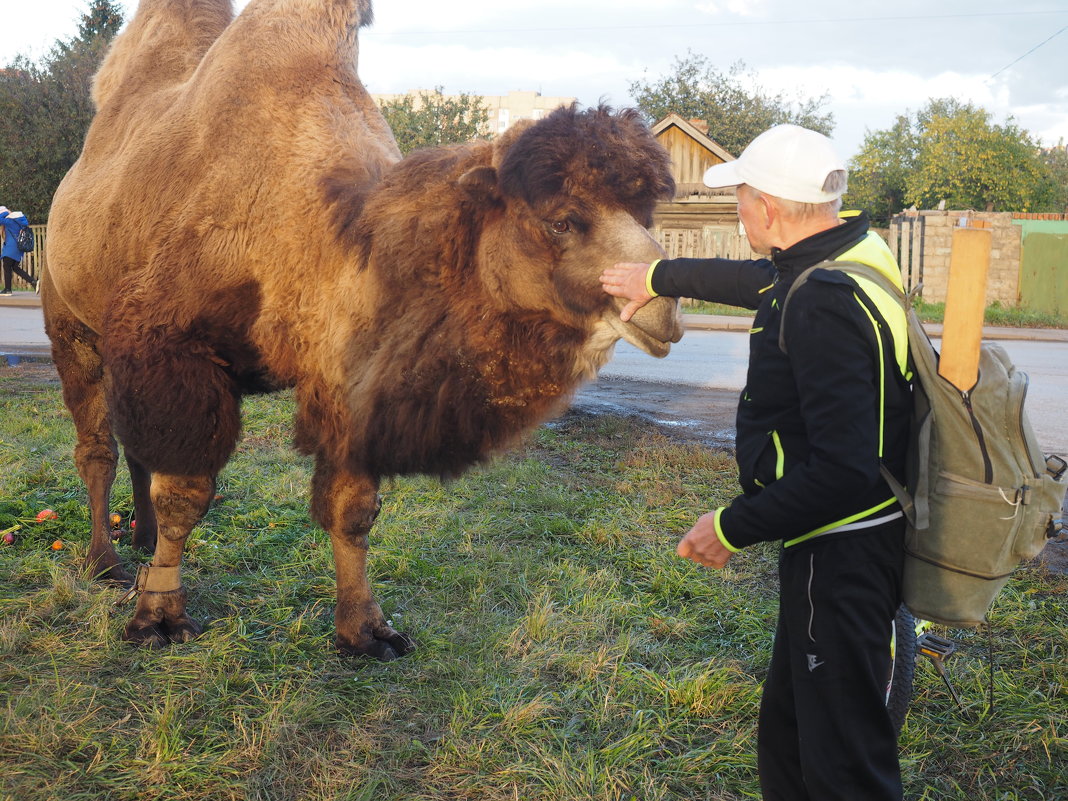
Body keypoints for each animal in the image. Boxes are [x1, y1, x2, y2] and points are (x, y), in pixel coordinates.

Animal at [45, 0, 679, 662]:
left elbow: (352, 508)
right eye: (561, 221)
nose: (660, 305)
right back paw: (105, 561)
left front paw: (366, 629)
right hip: (71, 322)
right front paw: (159, 616)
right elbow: (186, 493)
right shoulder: (170, 345)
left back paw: (139, 541)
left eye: (645, 214)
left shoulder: (348, 382)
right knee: (98, 448)